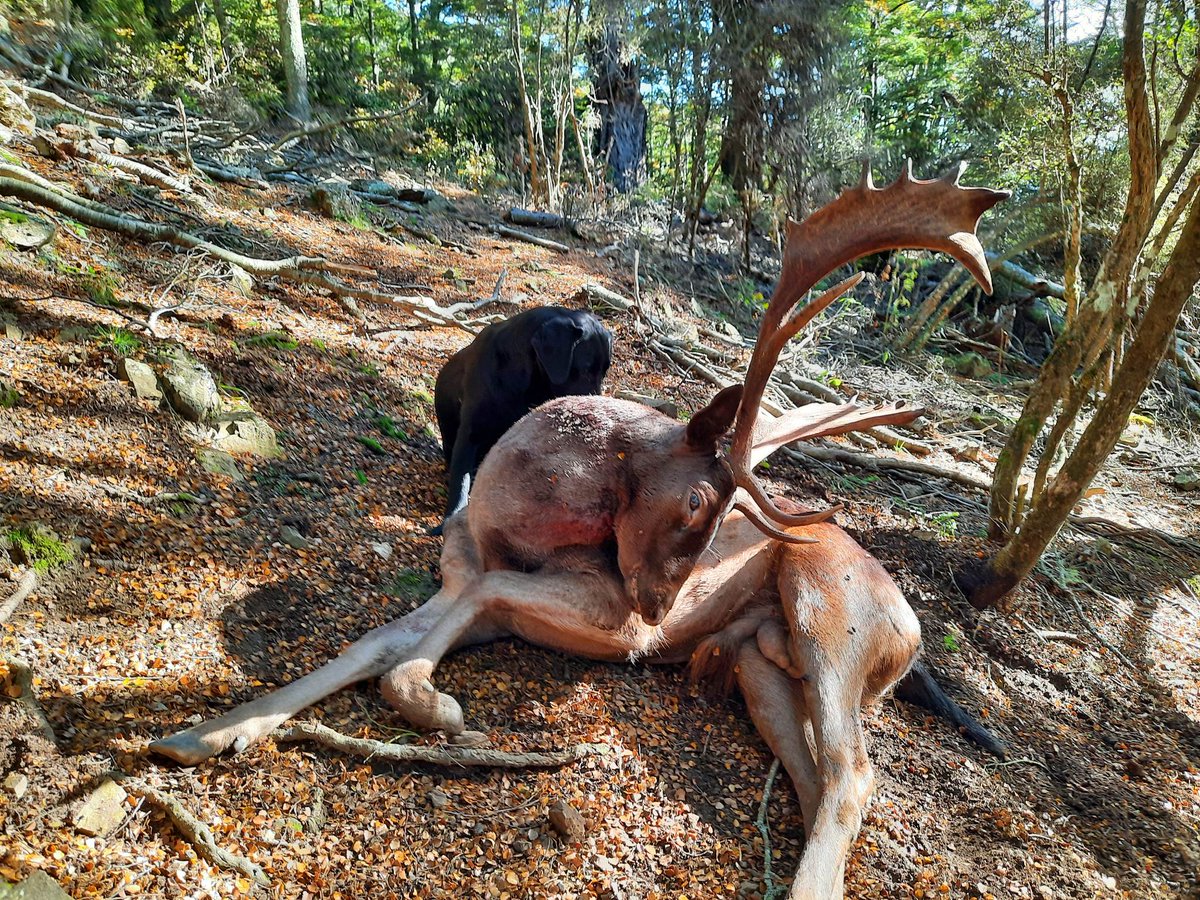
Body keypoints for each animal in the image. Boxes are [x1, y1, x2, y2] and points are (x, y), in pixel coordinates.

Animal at [151, 162, 1009, 900]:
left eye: (719, 515)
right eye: (698, 501)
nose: (660, 611)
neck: (502, 523)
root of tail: (911, 630)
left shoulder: (600, 611)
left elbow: (430, 640)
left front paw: (436, 707)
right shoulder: (470, 585)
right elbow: (371, 643)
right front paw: (202, 734)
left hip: (830, 615)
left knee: (854, 770)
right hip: (763, 665)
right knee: (819, 775)